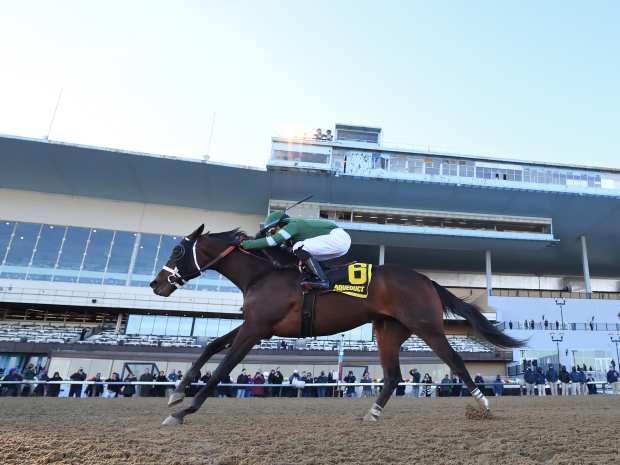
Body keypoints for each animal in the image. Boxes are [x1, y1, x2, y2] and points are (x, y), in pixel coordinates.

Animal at [151, 225, 524, 424]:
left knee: (456, 361)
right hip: (388, 330)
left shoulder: (256, 328)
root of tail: (425, 279)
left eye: (177, 251)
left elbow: (222, 367)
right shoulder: (257, 324)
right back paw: (372, 413)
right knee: (393, 376)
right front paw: (177, 393)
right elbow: (212, 346)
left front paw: (184, 411)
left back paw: (484, 405)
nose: (156, 284)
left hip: (426, 327)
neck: (263, 274)